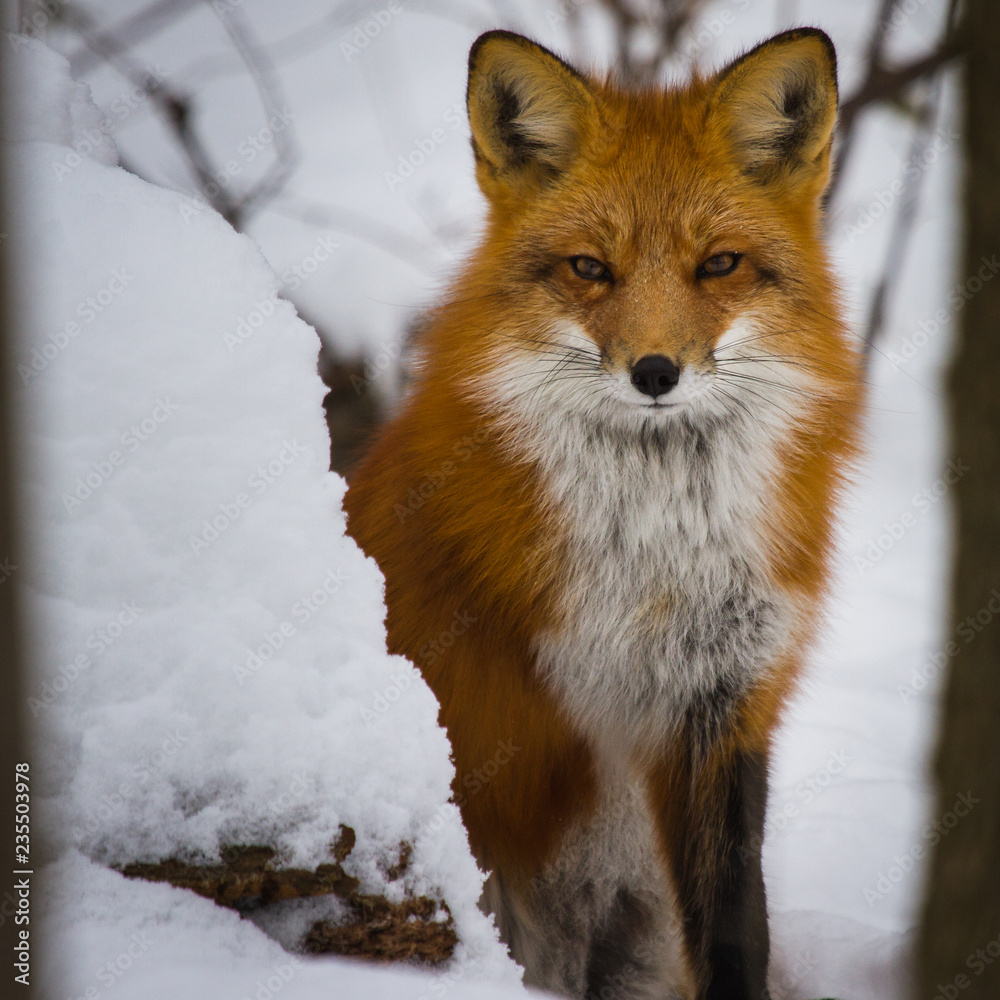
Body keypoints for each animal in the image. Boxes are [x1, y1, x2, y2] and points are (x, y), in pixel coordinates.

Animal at [344, 25, 860, 1000]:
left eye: (718, 264)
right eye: (591, 267)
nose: (655, 372)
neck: (649, 567)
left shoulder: (719, 705)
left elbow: (734, 927)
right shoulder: (501, 723)